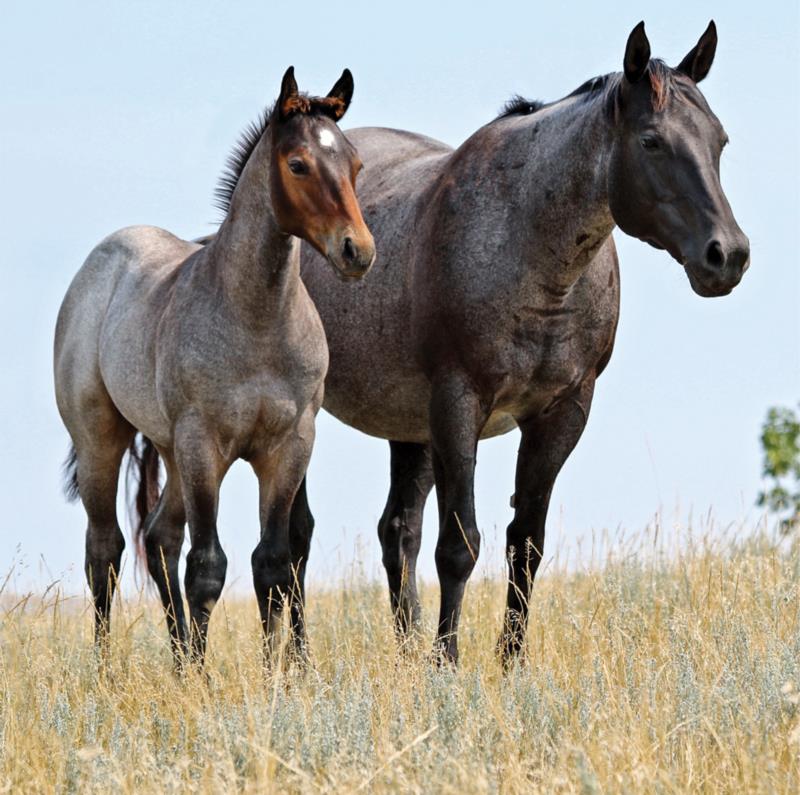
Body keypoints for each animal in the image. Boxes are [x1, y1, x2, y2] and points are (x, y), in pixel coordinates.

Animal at [56, 67, 376, 664]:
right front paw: (206, 680)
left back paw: (180, 662)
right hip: (103, 440)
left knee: (159, 539)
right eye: (297, 164)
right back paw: (107, 671)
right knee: (105, 551)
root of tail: (100, 261)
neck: (257, 322)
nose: (358, 251)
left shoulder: (288, 447)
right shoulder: (205, 444)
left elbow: (271, 563)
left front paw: (276, 674)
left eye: (355, 164)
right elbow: (207, 568)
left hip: (171, 451)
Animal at [294, 20, 752, 664]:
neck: (530, 252)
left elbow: (525, 545)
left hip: (408, 427)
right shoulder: (458, 405)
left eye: (720, 141)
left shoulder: (562, 412)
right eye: (652, 142)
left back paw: (404, 655)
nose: (727, 255)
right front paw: (446, 666)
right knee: (295, 539)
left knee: (397, 531)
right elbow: (459, 546)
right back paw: (301, 661)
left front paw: (508, 665)